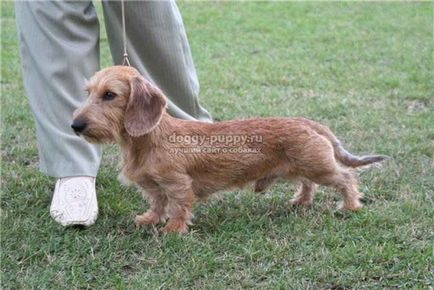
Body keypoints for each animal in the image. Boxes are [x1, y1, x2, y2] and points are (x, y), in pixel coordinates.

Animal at [71, 65, 386, 233]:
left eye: (109, 94)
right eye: (88, 92)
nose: (76, 125)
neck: (149, 139)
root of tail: (309, 122)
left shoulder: (177, 184)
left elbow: (178, 206)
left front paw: (173, 230)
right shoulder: (155, 187)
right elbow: (158, 203)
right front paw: (149, 219)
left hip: (319, 167)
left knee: (345, 178)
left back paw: (349, 205)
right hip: (302, 167)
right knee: (309, 184)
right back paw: (300, 201)